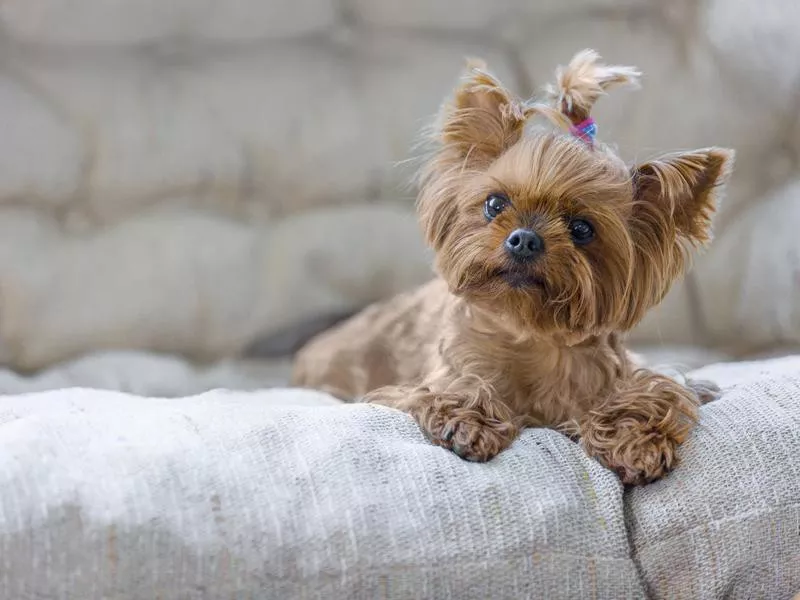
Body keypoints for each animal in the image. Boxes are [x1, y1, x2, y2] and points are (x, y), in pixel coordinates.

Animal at [290, 49, 736, 486]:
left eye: (582, 228)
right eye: (494, 204)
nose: (524, 239)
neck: (529, 334)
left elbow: (656, 392)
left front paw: (634, 440)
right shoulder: (432, 378)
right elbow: (454, 389)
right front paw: (469, 422)